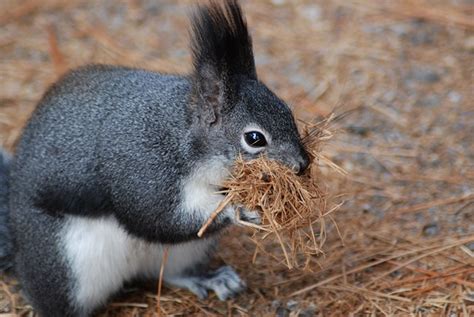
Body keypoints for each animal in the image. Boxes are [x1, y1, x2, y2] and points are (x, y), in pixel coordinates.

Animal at [0, 1, 312, 314]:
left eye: (287, 111)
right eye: (254, 138)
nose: (302, 165)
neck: (181, 135)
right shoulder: (142, 167)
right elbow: (156, 216)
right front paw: (240, 209)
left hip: (186, 252)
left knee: (171, 272)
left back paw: (209, 278)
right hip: (63, 266)